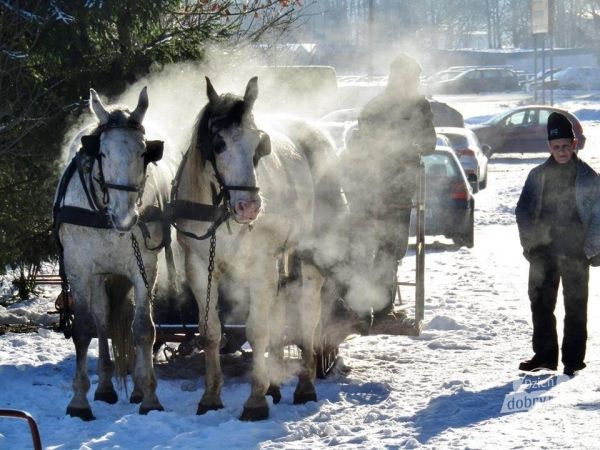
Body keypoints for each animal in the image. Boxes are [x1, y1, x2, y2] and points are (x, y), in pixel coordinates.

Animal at [54, 89, 171, 422]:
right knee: (103, 321)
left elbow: (143, 330)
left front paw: (150, 396)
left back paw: (136, 388)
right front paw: (79, 401)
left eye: (144, 153)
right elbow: (83, 330)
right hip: (98, 276)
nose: (125, 217)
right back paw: (105, 387)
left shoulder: (145, 269)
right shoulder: (79, 270)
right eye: (102, 154)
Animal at [171, 78, 330, 422]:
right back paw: (275, 385)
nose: (250, 207)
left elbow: (257, 331)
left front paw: (255, 401)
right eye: (218, 145)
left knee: (307, 314)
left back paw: (305, 386)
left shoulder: (259, 268)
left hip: (306, 252)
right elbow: (210, 331)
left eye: (260, 145)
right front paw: (211, 397)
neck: (221, 212)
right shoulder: (198, 268)